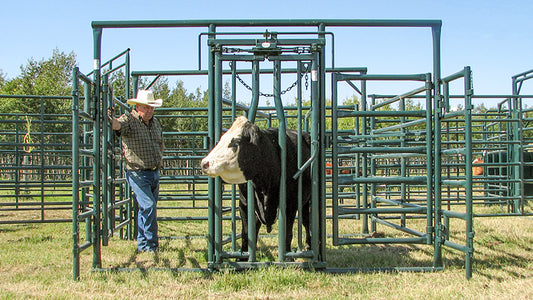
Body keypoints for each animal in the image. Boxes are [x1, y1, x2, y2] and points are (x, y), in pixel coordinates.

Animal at [202, 116, 314, 252]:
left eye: (236, 142)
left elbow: (287, 234)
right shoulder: (244, 205)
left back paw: (309, 245)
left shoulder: (291, 205)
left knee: (307, 220)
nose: (204, 163)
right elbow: (247, 234)